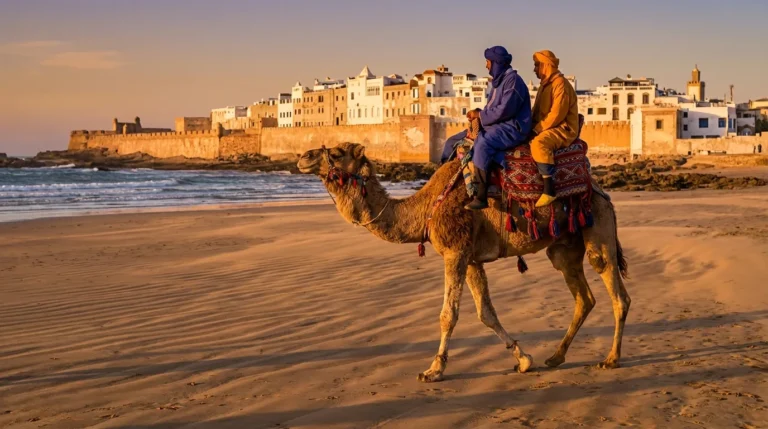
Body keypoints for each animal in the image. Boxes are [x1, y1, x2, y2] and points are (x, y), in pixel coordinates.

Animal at [297, 142, 630, 382]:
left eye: (336, 153)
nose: (303, 156)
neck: (426, 208)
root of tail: (602, 191)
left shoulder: (455, 251)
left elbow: (449, 315)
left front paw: (433, 370)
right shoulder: (470, 259)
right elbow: (486, 313)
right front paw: (524, 360)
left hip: (598, 226)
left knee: (616, 292)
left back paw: (611, 359)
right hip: (564, 245)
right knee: (583, 297)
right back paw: (556, 357)